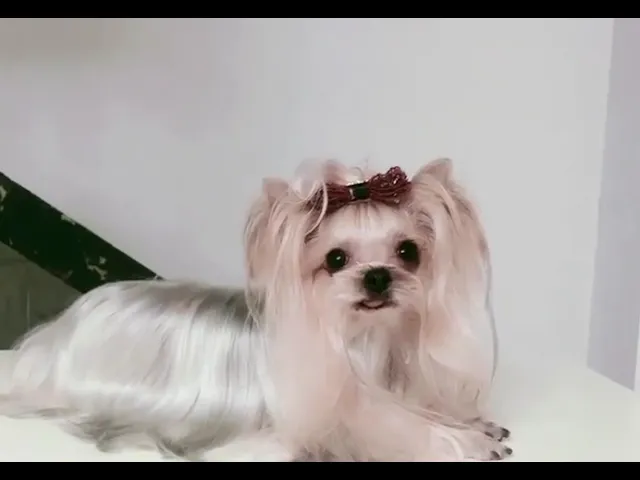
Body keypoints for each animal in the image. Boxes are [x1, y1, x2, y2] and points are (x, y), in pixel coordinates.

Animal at [0, 158, 510, 462]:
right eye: (335, 259)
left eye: (408, 252)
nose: (378, 276)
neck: (363, 336)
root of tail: (56, 333)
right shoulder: (333, 413)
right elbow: (389, 424)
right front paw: (463, 441)